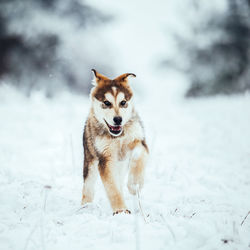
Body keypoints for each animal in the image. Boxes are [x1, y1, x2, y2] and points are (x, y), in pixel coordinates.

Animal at [82, 69, 148, 215]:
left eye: (123, 102)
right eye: (107, 103)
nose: (118, 119)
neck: (117, 137)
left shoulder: (139, 142)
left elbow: (138, 157)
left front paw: (134, 184)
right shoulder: (105, 158)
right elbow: (111, 187)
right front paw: (121, 210)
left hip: (121, 165)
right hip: (90, 160)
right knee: (88, 186)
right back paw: (85, 207)